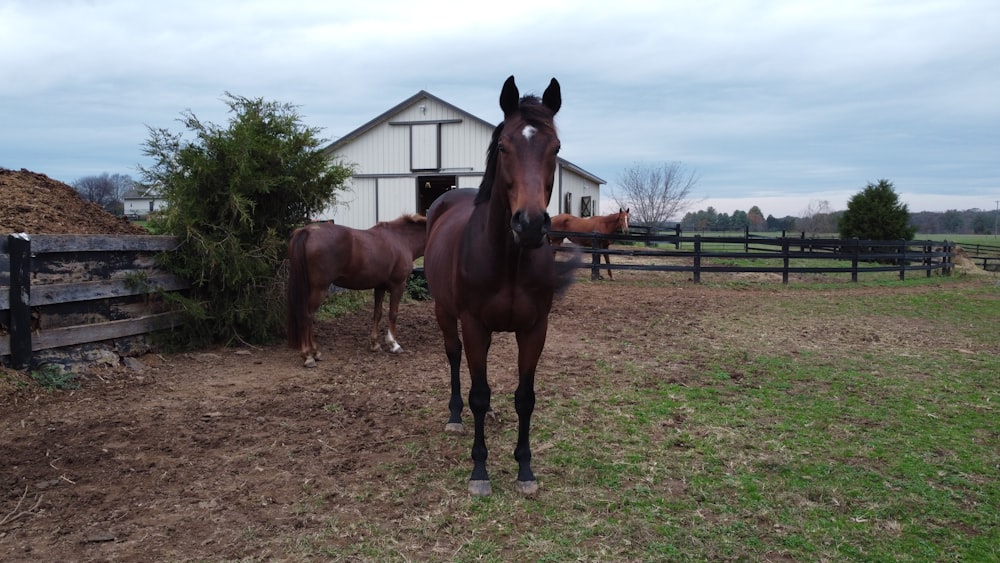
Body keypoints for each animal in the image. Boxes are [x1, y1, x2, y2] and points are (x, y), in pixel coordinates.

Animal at [286, 214, 426, 368]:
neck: (402, 239)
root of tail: (307, 231)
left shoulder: (380, 286)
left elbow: (377, 313)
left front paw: (375, 344)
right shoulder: (398, 285)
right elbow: (393, 314)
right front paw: (394, 344)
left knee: (309, 317)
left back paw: (315, 353)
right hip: (319, 289)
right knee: (307, 316)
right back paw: (308, 356)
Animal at [424, 76, 580, 498]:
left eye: (556, 148)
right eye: (504, 146)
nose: (529, 224)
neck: (508, 260)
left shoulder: (534, 329)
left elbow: (525, 398)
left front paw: (525, 469)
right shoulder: (474, 324)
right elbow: (478, 394)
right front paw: (480, 471)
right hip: (446, 314)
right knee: (454, 357)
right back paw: (455, 416)